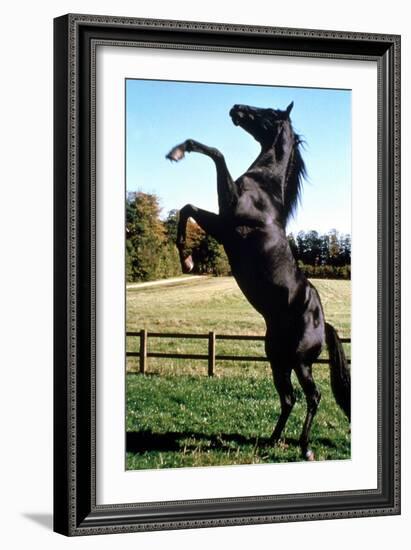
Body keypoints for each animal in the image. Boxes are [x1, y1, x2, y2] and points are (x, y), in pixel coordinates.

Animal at [167, 102, 350, 462]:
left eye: (270, 111)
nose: (236, 108)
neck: (265, 191)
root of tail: (323, 322)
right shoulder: (221, 222)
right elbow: (187, 206)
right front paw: (186, 258)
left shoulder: (227, 225)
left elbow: (216, 155)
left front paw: (178, 151)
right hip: (277, 358)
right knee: (288, 398)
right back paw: (269, 442)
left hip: (300, 362)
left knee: (313, 396)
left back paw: (305, 448)